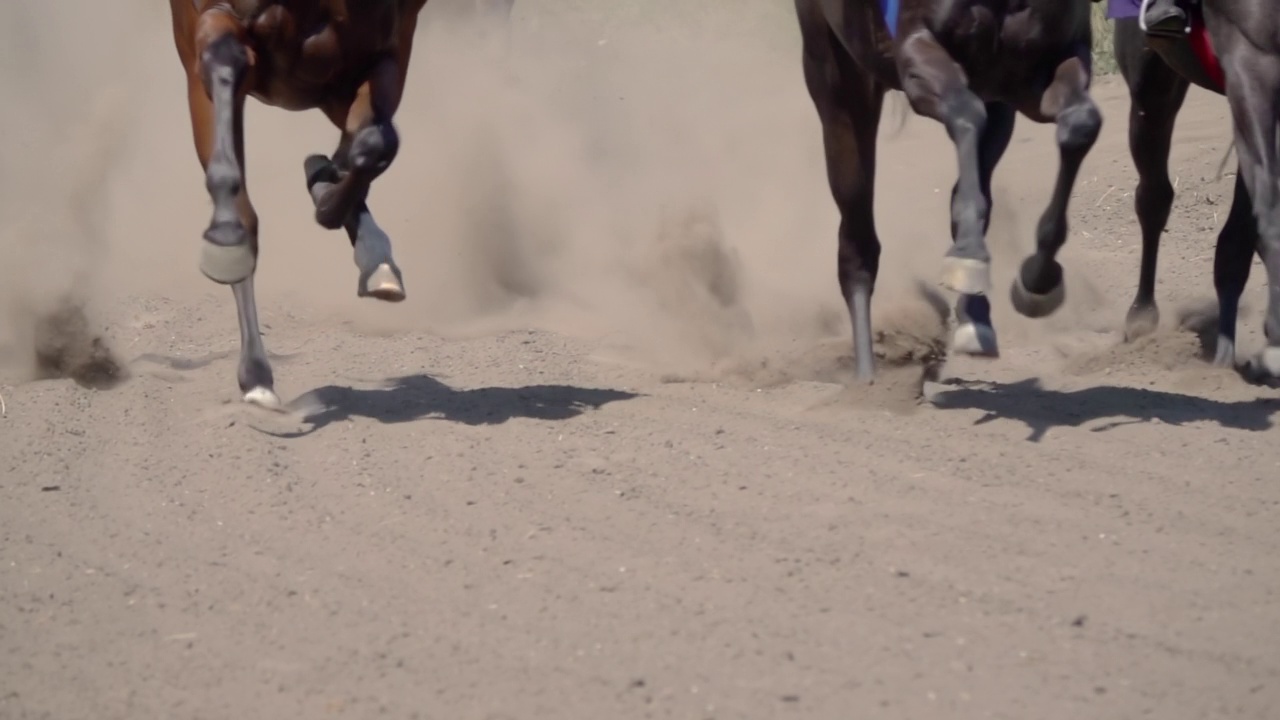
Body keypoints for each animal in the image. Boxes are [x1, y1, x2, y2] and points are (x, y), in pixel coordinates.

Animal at [167, 0, 512, 404]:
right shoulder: (211, 35)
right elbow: (225, 63)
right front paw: (226, 238)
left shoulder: (382, 54)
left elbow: (374, 145)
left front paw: (326, 191)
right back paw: (256, 374)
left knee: (358, 149)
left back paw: (373, 255)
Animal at [788, 0, 1100, 379]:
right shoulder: (918, 50)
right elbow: (966, 112)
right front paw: (969, 254)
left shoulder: (1039, 68)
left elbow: (1081, 123)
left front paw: (1037, 279)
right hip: (836, 81)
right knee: (856, 236)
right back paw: (867, 376)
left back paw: (974, 314)